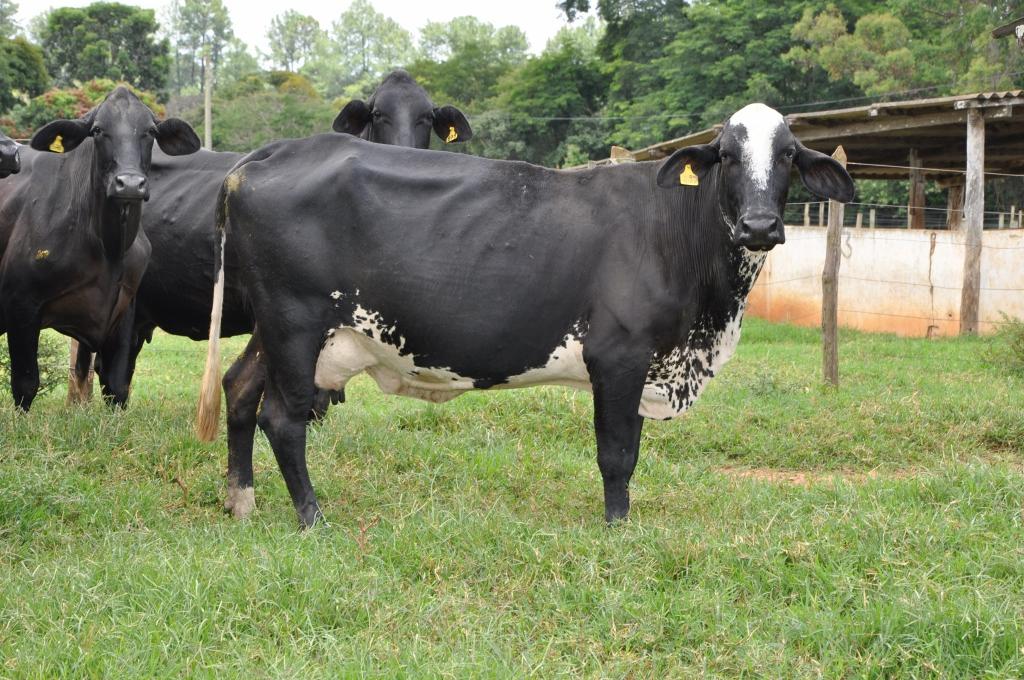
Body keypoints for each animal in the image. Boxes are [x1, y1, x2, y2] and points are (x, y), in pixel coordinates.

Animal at [0, 88, 198, 411]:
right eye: (97, 130)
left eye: (150, 131)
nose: (129, 184)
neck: (108, 247)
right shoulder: (21, 303)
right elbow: (25, 384)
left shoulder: (126, 308)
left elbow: (117, 385)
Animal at [195, 102, 851, 524]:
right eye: (726, 155)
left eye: (788, 156)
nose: (760, 226)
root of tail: (271, 153)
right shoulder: (619, 354)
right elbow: (617, 453)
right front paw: (617, 528)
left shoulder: (643, 364)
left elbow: (630, 448)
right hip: (295, 325)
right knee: (282, 418)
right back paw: (311, 516)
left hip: (278, 331)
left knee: (239, 388)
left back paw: (240, 500)